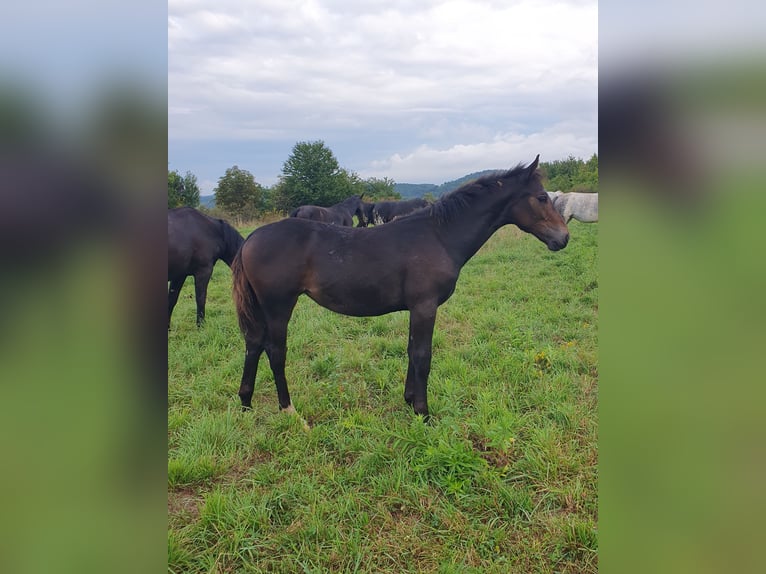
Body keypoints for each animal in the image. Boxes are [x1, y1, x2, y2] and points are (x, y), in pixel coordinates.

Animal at [231, 156, 568, 419]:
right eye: (541, 197)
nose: (563, 238)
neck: (438, 236)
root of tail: (251, 239)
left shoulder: (415, 309)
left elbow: (410, 350)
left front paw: (409, 402)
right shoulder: (425, 306)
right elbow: (422, 355)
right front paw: (423, 412)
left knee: (253, 344)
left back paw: (246, 403)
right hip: (279, 305)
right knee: (275, 351)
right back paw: (289, 411)